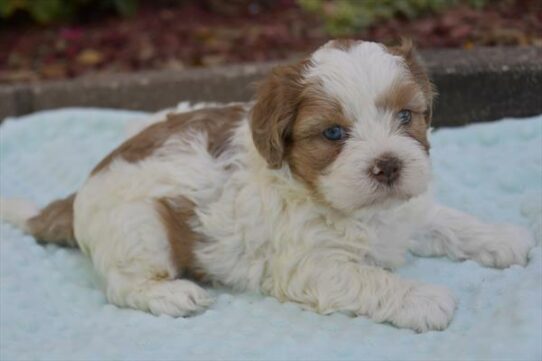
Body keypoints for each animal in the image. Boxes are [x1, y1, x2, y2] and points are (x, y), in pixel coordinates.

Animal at [0, 38, 536, 330]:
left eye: (407, 116)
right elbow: (371, 278)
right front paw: (424, 298)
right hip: (140, 227)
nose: (387, 166)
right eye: (334, 134)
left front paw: (502, 237)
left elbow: (446, 220)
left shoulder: (406, 212)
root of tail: (80, 191)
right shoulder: (310, 266)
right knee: (121, 284)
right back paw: (172, 294)